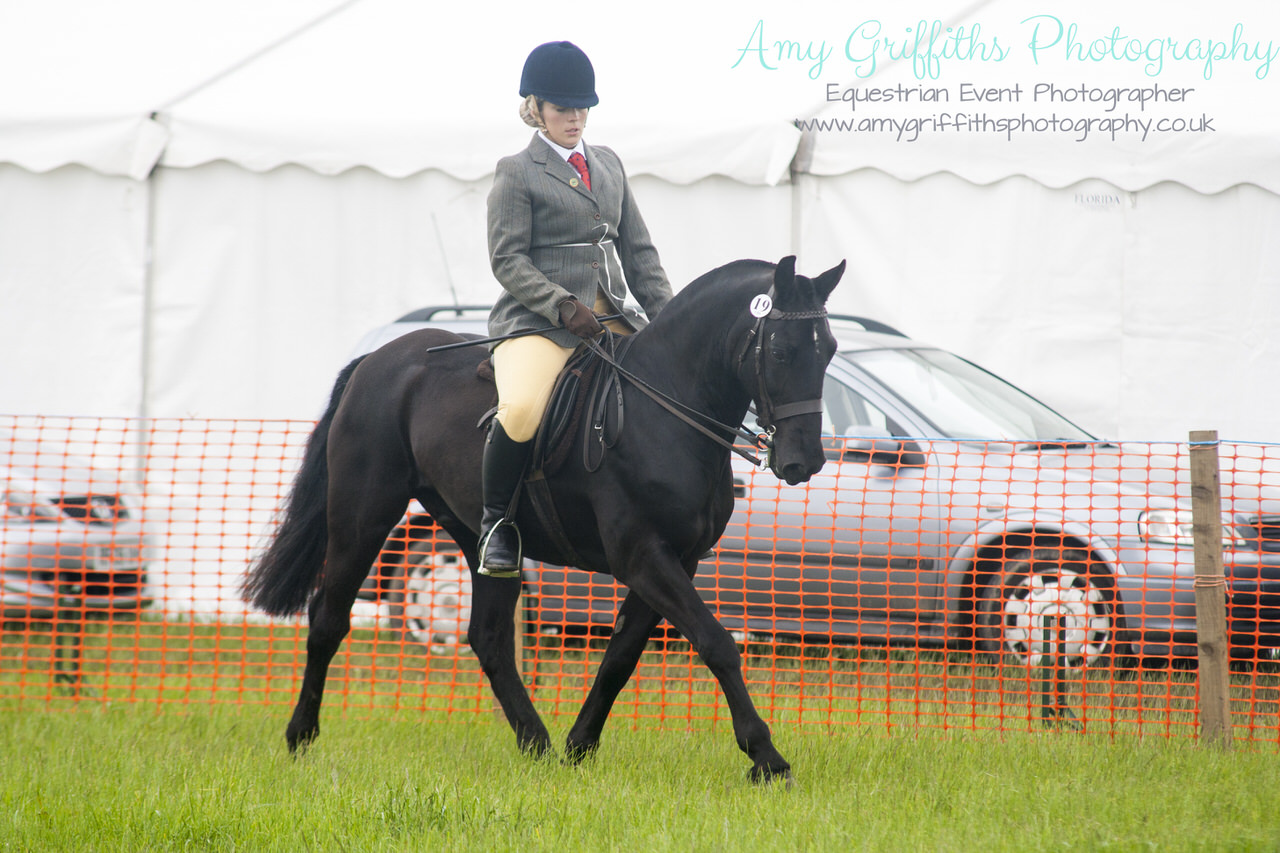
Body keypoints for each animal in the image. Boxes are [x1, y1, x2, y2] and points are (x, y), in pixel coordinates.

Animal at [244, 252, 844, 778]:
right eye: (782, 352)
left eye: (830, 349)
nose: (804, 461)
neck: (665, 408)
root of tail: (377, 360)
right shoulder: (644, 555)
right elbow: (716, 643)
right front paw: (767, 757)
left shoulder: (678, 559)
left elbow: (620, 656)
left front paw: (579, 746)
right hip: (362, 515)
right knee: (328, 619)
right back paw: (300, 738)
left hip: (481, 538)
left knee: (489, 637)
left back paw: (536, 742)